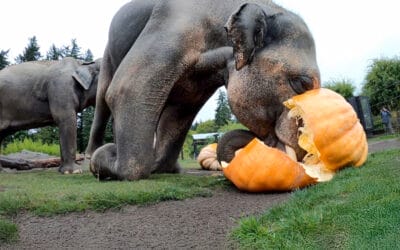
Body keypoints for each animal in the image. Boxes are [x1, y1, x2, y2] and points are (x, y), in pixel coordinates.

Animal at [86, 0, 318, 181]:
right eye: (302, 84)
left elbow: (179, 113)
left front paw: (159, 165)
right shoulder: (174, 24)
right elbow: (128, 88)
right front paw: (106, 158)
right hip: (108, 55)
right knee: (103, 98)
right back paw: (93, 154)